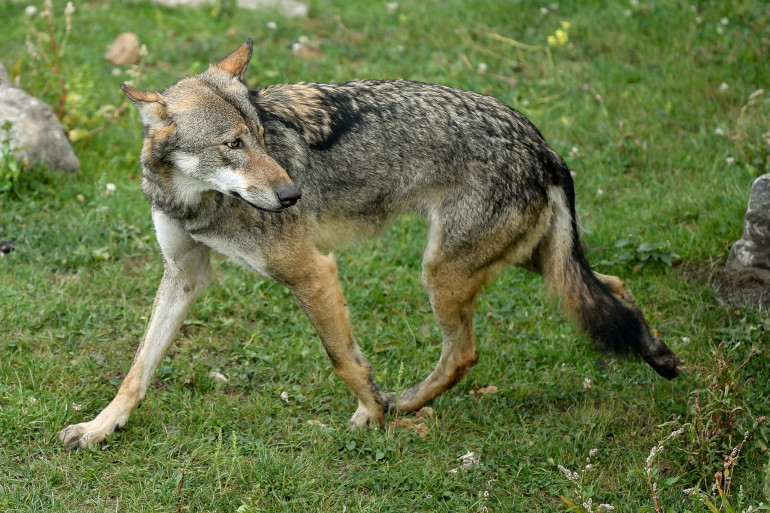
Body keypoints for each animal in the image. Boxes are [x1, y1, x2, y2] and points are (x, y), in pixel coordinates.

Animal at [58, 40, 680, 448]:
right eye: (233, 144)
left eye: (261, 137)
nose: (293, 194)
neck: (198, 203)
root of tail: (543, 144)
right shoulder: (185, 274)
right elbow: (137, 369)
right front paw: (100, 427)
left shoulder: (312, 271)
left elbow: (343, 359)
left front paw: (371, 415)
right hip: (523, 261)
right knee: (610, 284)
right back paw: (658, 353)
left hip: (443, 273)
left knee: (467, 352)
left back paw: (400, 403)